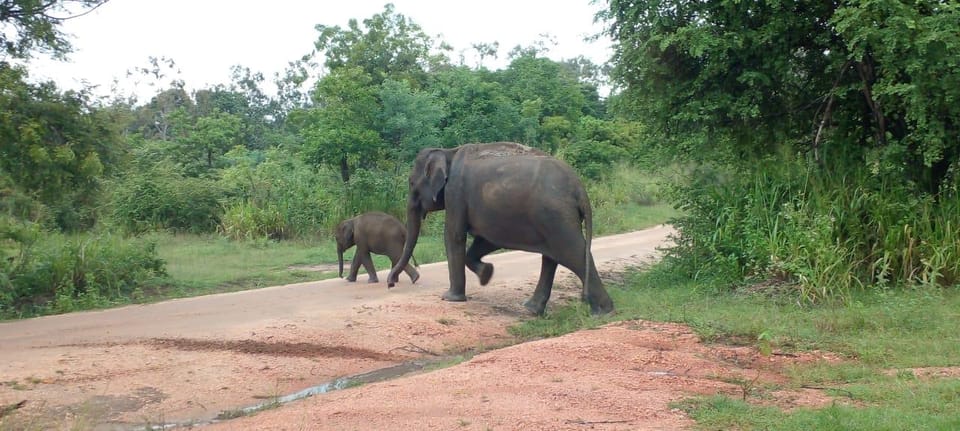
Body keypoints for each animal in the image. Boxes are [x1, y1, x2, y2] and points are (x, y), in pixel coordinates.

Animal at [384, 143, 616, 316]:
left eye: (410, 183)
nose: (391, 283)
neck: (449, 151)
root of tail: (579, 189)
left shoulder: (456, 193)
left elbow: (453, 236)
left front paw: (450, 298)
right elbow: (486, 239)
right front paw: (487, 274)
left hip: (555, 215)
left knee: (573, 253)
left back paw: (602, 312)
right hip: (554, 218)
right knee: (552, 257)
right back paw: (532, 309)